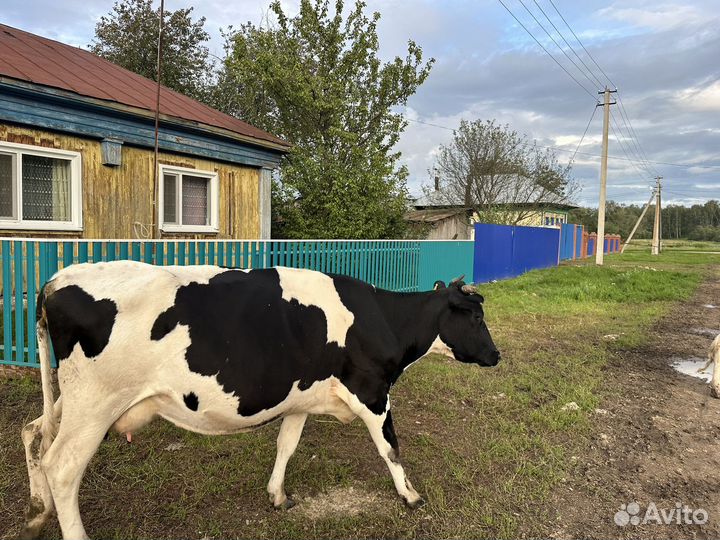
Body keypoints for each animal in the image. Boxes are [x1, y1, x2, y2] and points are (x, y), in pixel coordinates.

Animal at [18, 261, 500, 540]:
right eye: (477, 317)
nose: (497, 356)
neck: (382, 319)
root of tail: (57, 279)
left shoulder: (301, 398)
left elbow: (287, 445)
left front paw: (278, 495)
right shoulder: (372, 392)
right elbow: (391, 448)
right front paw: (411, 496)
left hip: (72, 397)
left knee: (34, 432)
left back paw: (37, 511)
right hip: (95, 402)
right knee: (62, 465)